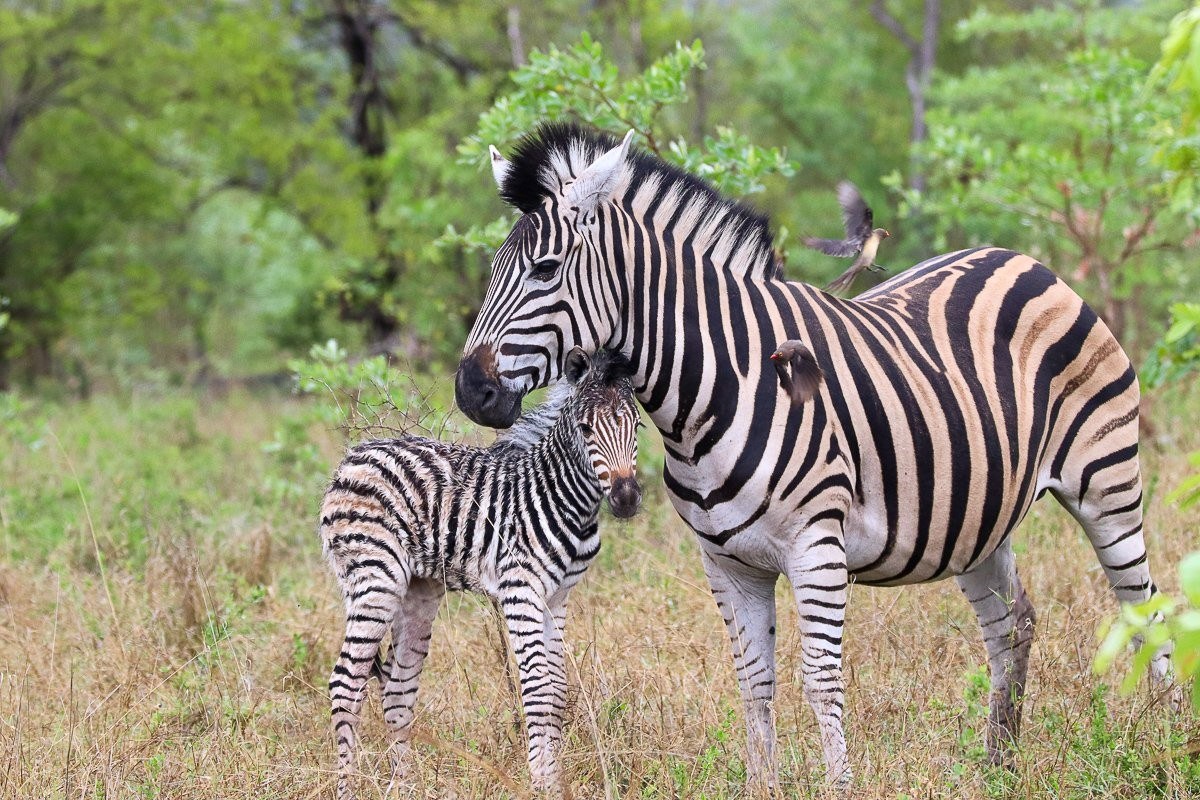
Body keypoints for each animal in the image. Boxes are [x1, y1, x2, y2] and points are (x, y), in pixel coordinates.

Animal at [320, 347, 642, 798]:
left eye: (637, 425)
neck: (562, 497)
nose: (627, 499)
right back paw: (348, 788)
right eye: (585, 428)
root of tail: (352, 458)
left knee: (398, 690)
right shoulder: (520, 588)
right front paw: (540, 785)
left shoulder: (558, 597)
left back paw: (406, 786)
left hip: (418, 590)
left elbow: (558, 691)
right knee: (346, 683)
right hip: (376, 579)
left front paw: (555, 781)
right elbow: (537, 690)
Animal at [453, 122, 1177, 788]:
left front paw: (840, 787)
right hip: (977, 515)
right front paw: (762, 788)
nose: (470, 390)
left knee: (1145, 608)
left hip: (1107, 482)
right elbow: (755, 684)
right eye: (490, 270)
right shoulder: (728, 565)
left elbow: (821, 680)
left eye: (546, 270)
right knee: (1012, 624)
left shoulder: (816, 548)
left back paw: (1163, 746)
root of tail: (1025, 261)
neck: (712, 391)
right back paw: (998, 766)